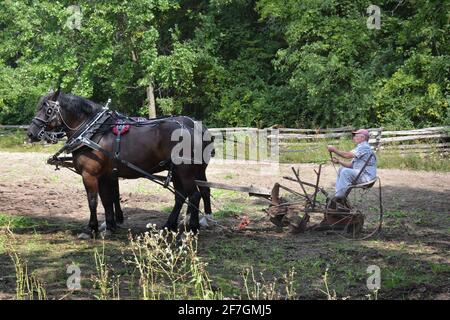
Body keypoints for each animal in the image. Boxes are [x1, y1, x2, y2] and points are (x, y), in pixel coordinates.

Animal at [27, 89, 214, 235]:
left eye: (48, 110)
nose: (31, 133)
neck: (93, 131)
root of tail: (194, 128)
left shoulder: (90, 175)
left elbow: (93, 201)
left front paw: (91, 228)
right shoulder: (105, 175)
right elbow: (107, 199)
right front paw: (110, 225)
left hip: (185, 171)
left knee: (195, 195)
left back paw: (193, 227)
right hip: (178, 172)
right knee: (182, 196)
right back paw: (170, 225)